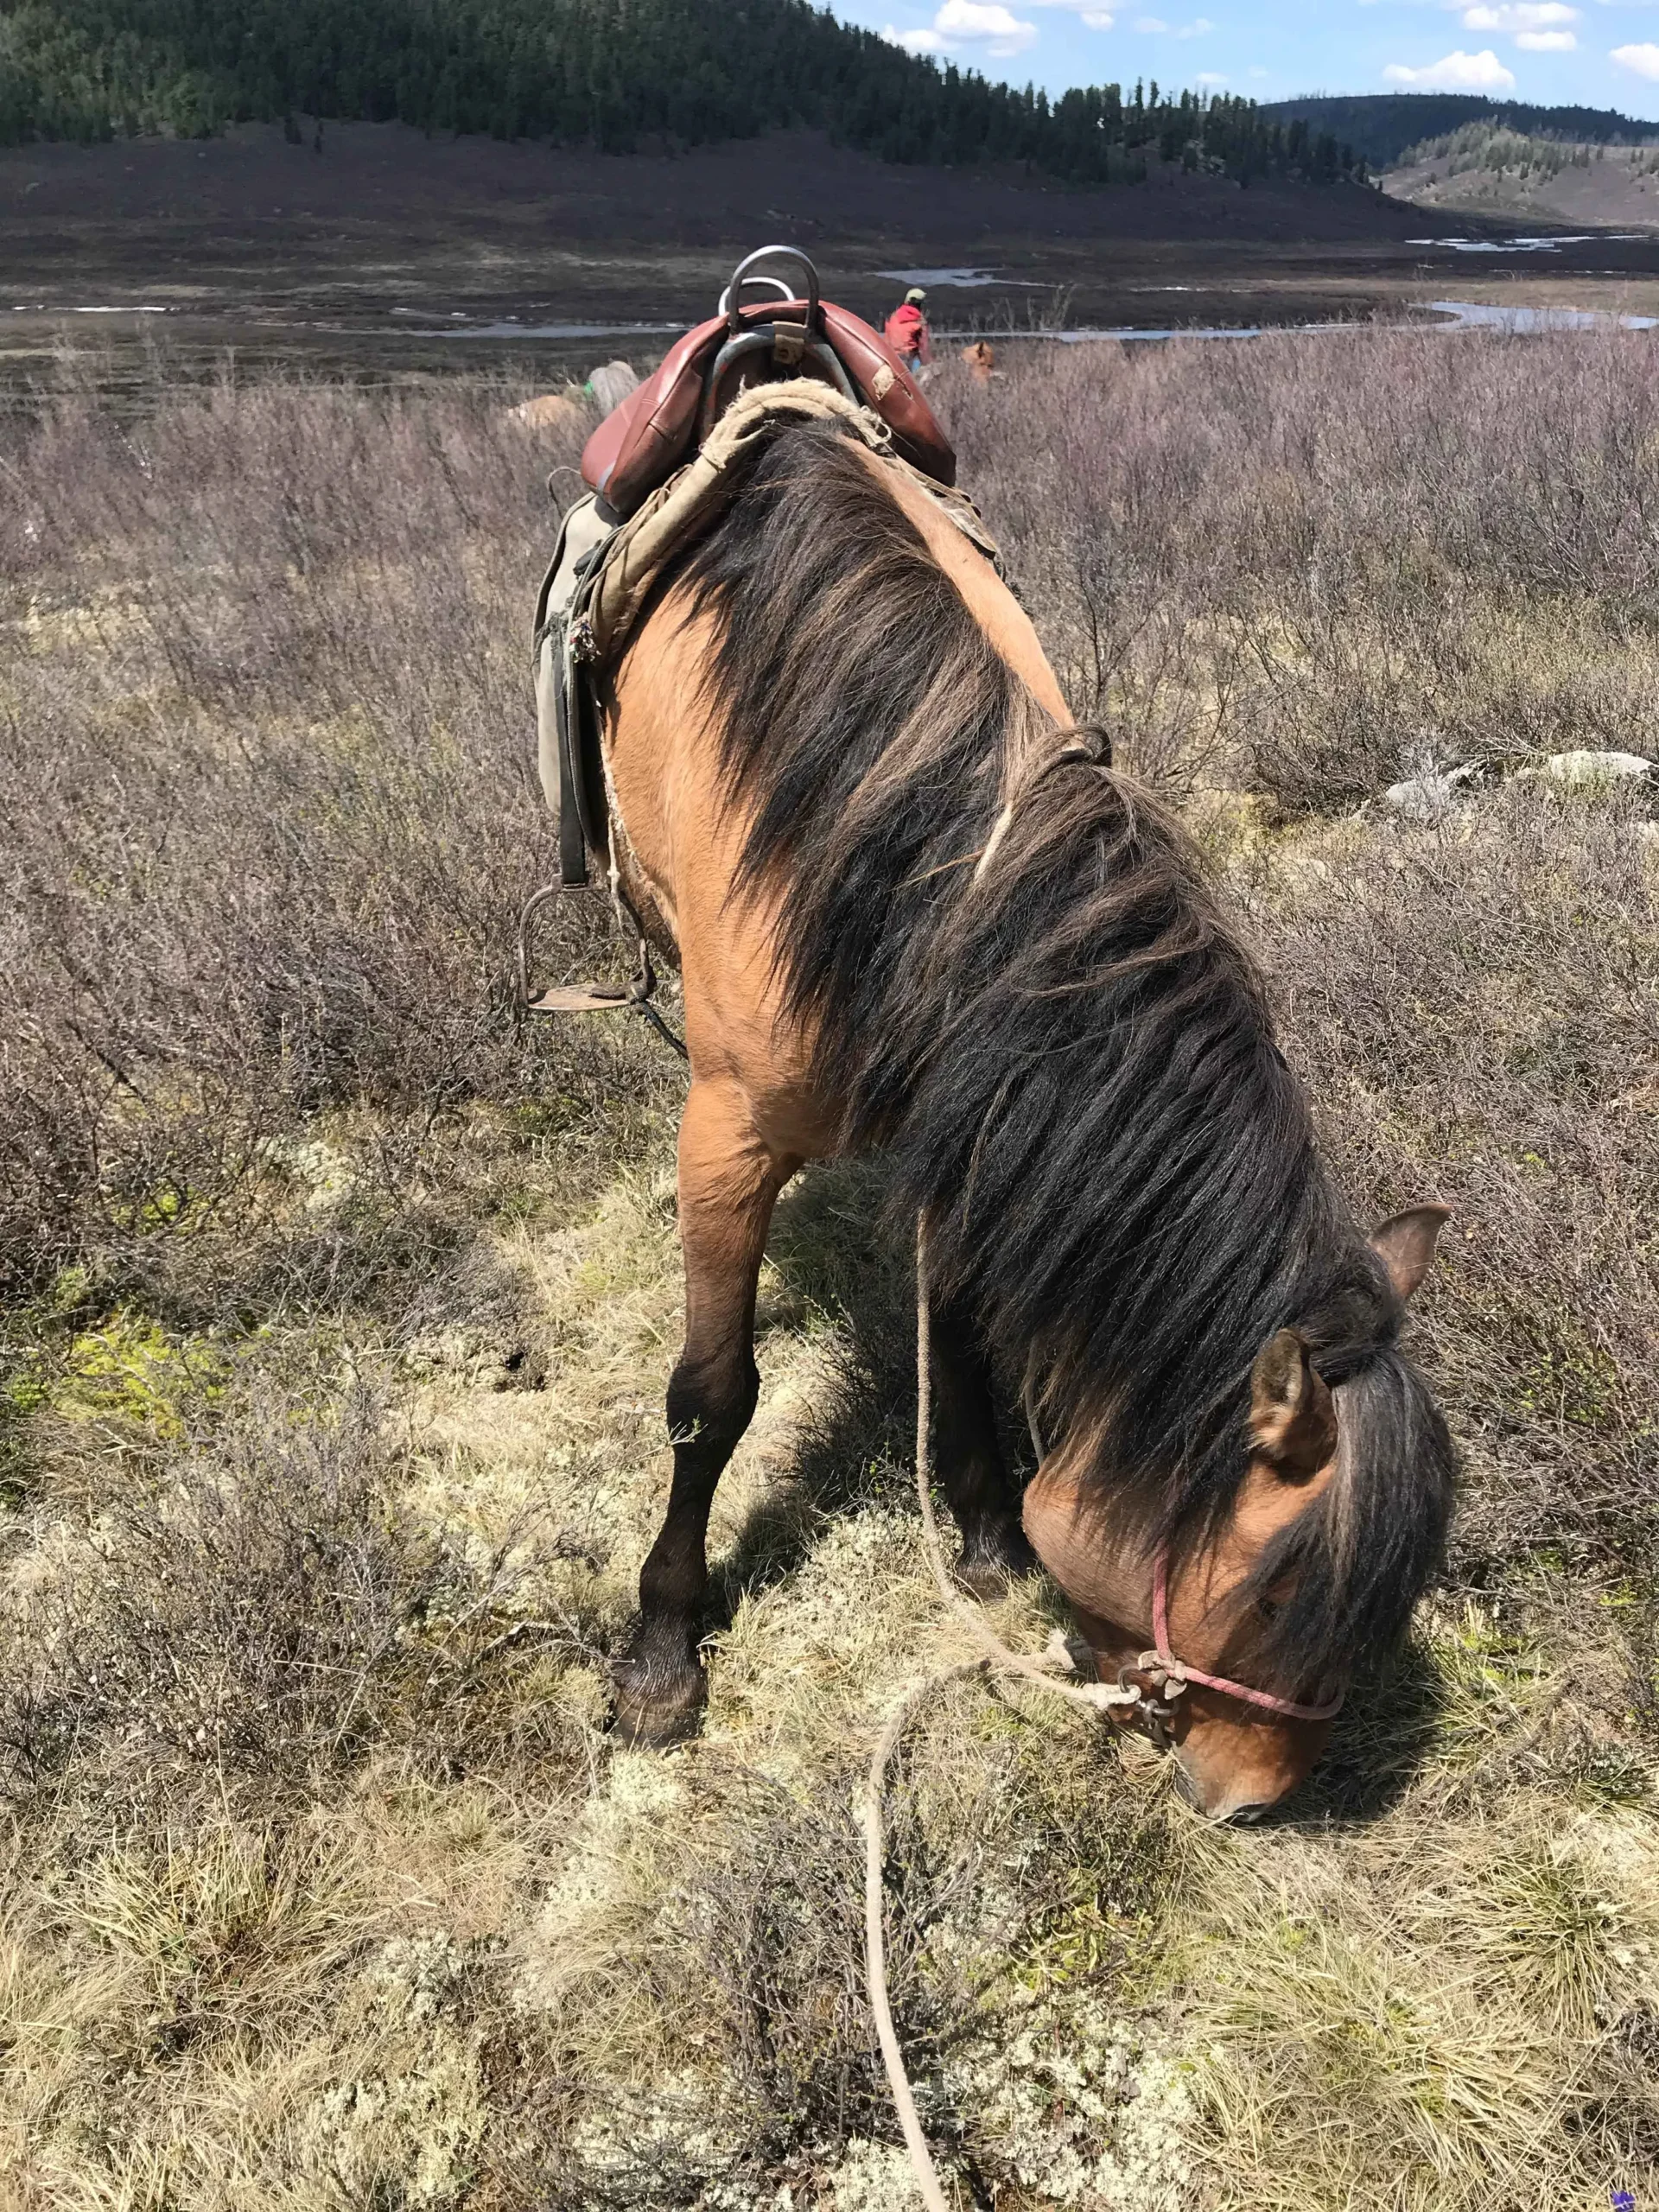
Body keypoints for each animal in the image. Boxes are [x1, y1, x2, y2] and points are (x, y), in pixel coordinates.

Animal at [594, 409, 1456, 1821]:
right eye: (1279, 1594)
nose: (1255, 1801)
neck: (901, 877)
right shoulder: (729, 1136)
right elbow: (712, 1396)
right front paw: (665, 1649)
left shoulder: (967, 1122)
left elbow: (963, 1325)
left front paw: (991, 1526)